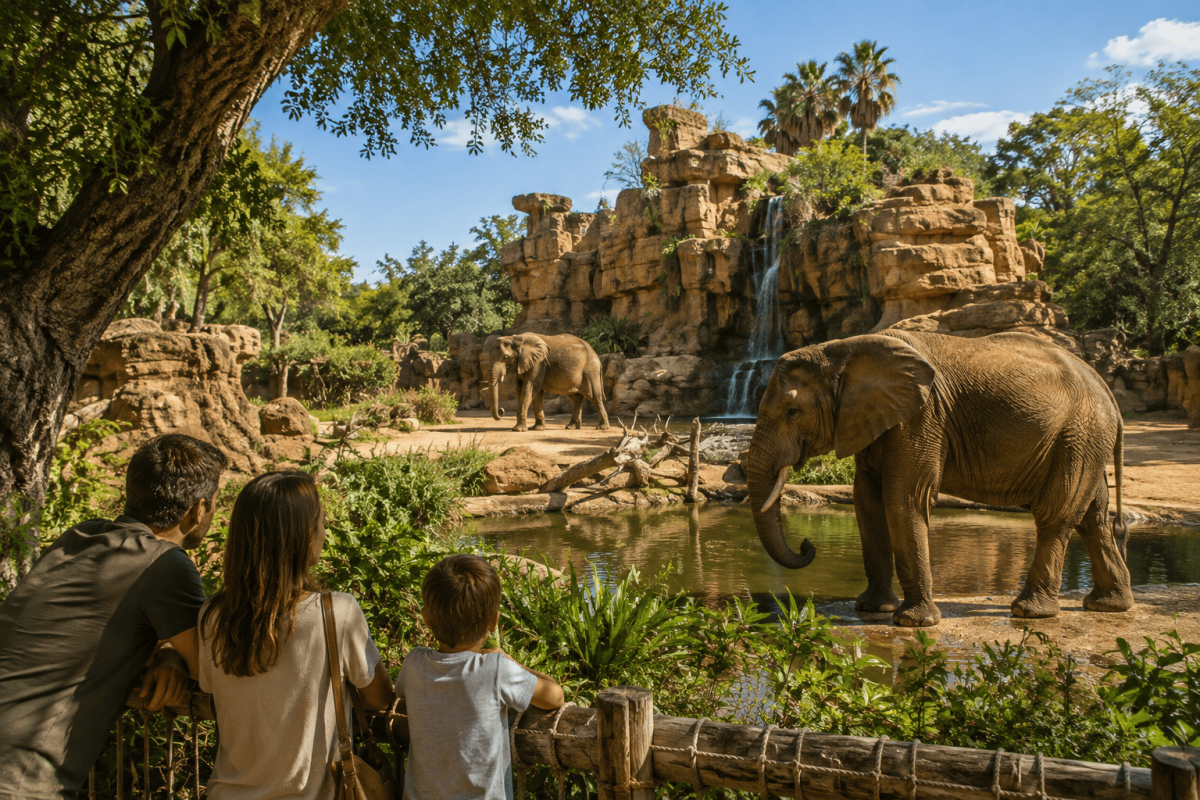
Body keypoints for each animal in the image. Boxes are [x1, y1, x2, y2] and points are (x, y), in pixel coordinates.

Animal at [746, 330, 1133, 627]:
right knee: (1093, 518)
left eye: (793, 411)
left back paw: (1030, 612)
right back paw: (1107, 605)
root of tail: (1106, 389)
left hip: (1079, 434)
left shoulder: (921, 418)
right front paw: (872, 609)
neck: (841, 349)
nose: (806, 544)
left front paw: (912, 622)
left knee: (1056, 514)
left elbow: (903, 499)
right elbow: (867, 502)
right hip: (1083, 438)